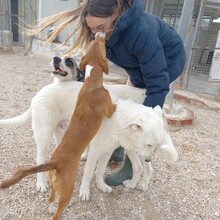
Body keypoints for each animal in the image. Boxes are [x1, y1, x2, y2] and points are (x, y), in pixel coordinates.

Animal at [0, 32, 116, 220]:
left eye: (69, 61)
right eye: (100, 44)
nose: (98, 34)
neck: (91, 82)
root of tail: (36, 97)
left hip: (58, 131)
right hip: (44, 134)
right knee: (40, 159)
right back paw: (41, 184)